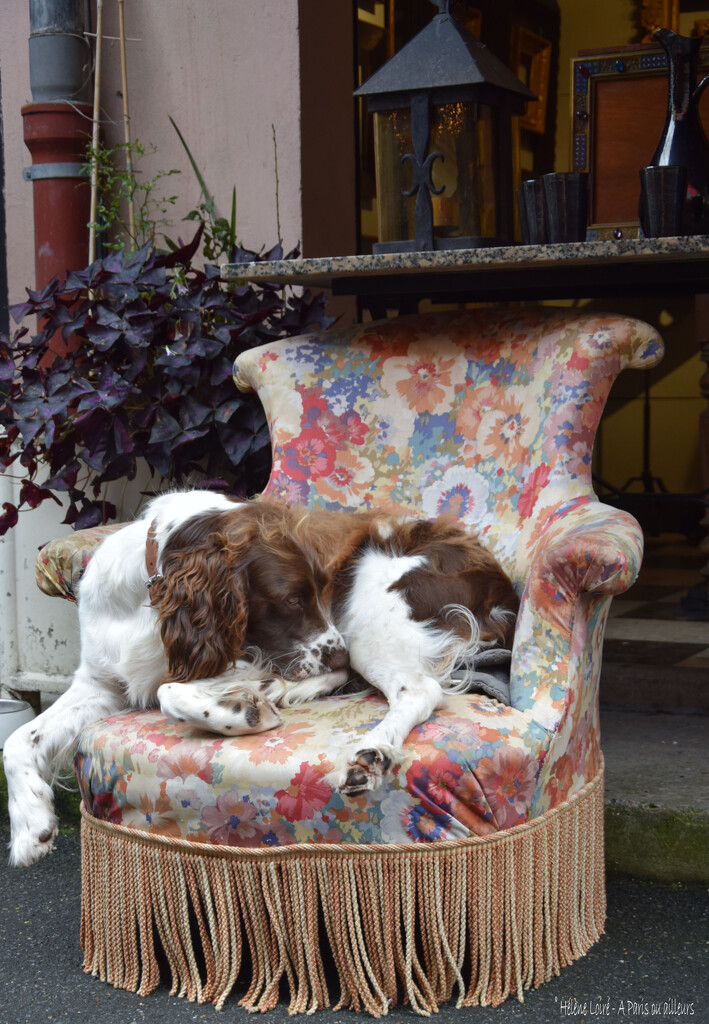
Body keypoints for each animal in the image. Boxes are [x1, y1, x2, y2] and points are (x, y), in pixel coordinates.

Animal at [2, 487, 518, 864]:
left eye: (320, 588)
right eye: (291, 598)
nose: (337, 655)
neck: (152, 605)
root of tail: (501, 585)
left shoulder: (242, 656)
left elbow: (170, 690)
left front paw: (244, 712)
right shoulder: (100, 683)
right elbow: (18, 740)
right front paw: (30, 825)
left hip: (369, 615)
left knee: (417, 688)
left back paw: (369, 752)